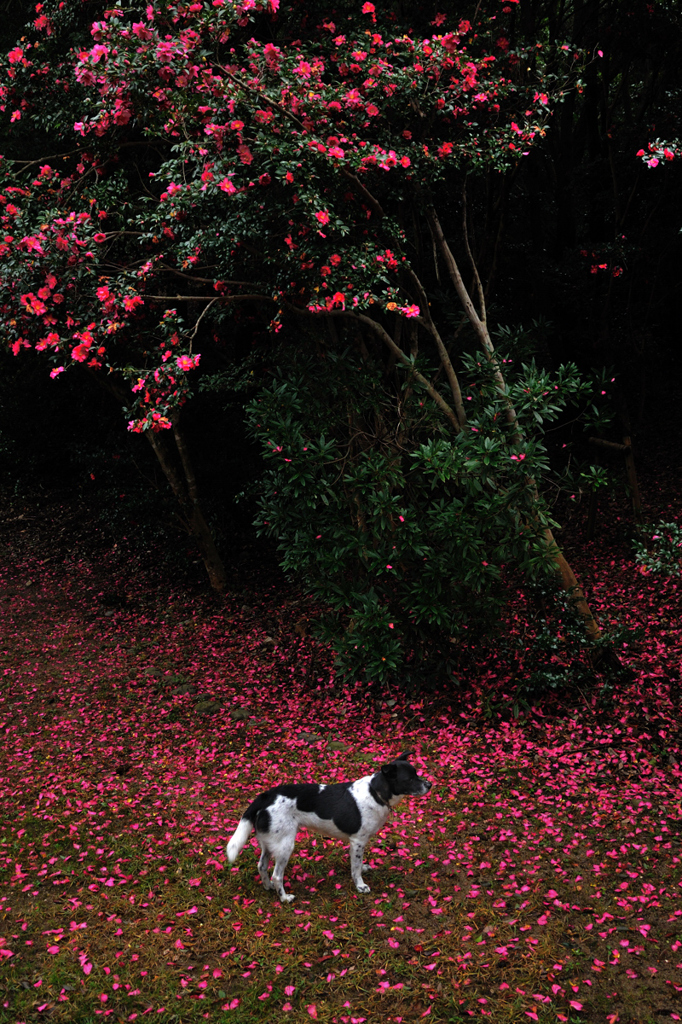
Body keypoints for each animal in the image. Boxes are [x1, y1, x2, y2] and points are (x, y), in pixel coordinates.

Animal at [225, 753, 428, 905]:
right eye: (409, 779)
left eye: (417, 774)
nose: (430, 784)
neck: (375, 793)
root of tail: (265, 796)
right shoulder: (357, 841)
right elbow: (355, 868)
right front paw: (360, 885)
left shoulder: (358, 844)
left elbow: (357, 864)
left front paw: (363, 868)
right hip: (285, 845)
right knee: (277, 875)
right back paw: (284, 897)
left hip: (270, 841)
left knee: (261, 865)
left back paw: (268, 887)